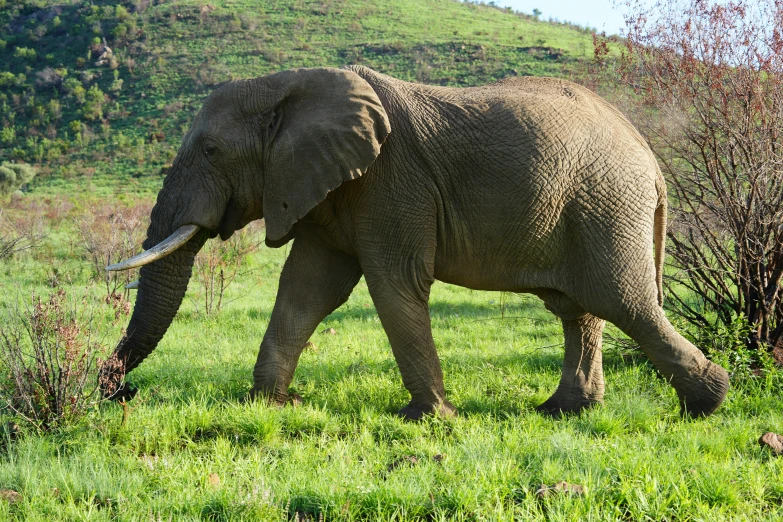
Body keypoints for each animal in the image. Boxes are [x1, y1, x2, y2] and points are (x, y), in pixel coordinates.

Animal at [101, 66, 732, 418]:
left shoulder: (389, 181)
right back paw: (565, 411)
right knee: (580, 309)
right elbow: (307, 290)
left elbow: (393, 283)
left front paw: (430, 419)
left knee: (625, 302)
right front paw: (270, 406)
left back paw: (709, 402)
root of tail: (649, 155)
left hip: (605, 203)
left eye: (210, 150)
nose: (118, 392)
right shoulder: (331, 188)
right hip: (587, 207)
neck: (290, 86)